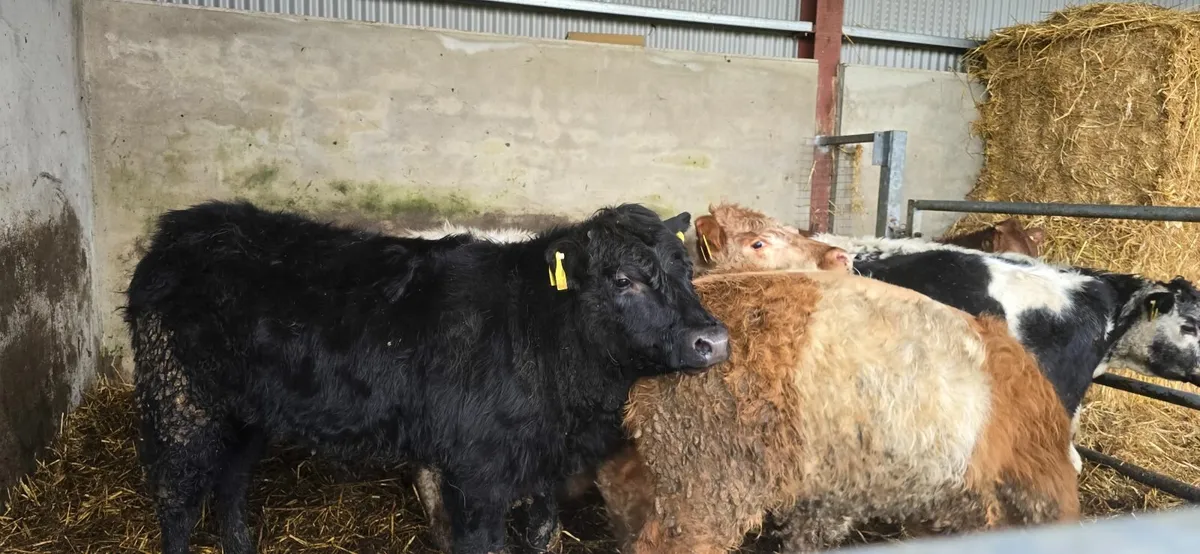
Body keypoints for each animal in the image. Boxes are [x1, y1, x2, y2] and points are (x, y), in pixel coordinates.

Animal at [121, 200, 729, 554]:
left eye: (687, 271)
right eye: (623, 279)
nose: (714, 341)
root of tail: (189, 226)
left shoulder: (540, 463)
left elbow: (541, 534)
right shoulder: (477, 472)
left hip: (245, 410)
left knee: (231, 480)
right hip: (180, 400)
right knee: (177, 500)